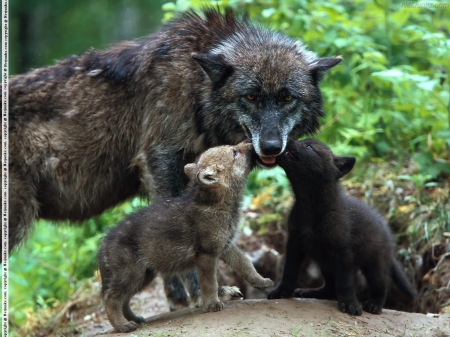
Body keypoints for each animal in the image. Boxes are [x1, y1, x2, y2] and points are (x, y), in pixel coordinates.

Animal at [7, 7, 342, 308]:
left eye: (287, 97)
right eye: (250, 97)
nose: (272, 147)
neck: (195, 85)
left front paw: (178, 297)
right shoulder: (160, 159)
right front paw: (203, 294)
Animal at [99, 141, 274, 330]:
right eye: (234, 152)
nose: (251, 143)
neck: (217, 205)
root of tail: (103, 242)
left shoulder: (227, 247)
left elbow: (246, 265)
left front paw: (262, 281)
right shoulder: (206, 255)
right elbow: (209, 283)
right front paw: (212, 304)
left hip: (144, 275)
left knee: (123, 300)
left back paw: (135, 319)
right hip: (131, 274)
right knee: (111, 299)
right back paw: (122, 326)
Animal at [266, 138, 416, 314]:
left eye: (309, 146)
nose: (287, 139)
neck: (311, 207)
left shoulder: (342, 250)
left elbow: (346, 282)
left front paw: (350, 304)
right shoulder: (294, 242)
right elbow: (289, 272)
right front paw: (281, 292)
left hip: (374, 265)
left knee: (381, 286)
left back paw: (374, 305)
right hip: (325, 263)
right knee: (330, 288)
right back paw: (311, 292)